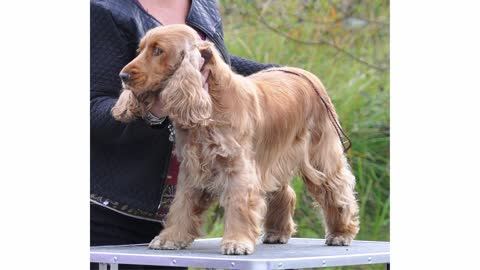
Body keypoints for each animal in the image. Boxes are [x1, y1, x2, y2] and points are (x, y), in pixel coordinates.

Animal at [112, 24, 360, 255]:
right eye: (140, 49)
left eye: (158, 50)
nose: (123, 76)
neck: (210, 104)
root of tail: (309, 76)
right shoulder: (192, 168)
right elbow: (182, 205)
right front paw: (171, 238)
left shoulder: (238, 167)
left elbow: (239, 205)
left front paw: (236, 242)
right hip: (275, 159)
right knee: (285, 193)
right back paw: (277, 232)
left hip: (321, 156)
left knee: (337, 191)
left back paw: (341, 233)